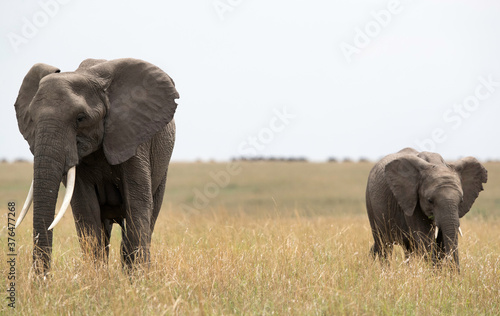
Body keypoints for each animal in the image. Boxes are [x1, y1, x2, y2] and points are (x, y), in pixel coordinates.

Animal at [13, 57, 180, 274]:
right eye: (32, 119)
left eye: (80, 118)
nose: (41, 279)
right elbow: (86, 209)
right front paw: (96, 277)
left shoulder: (134, 137)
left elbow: (137, 204)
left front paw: (139, 279)